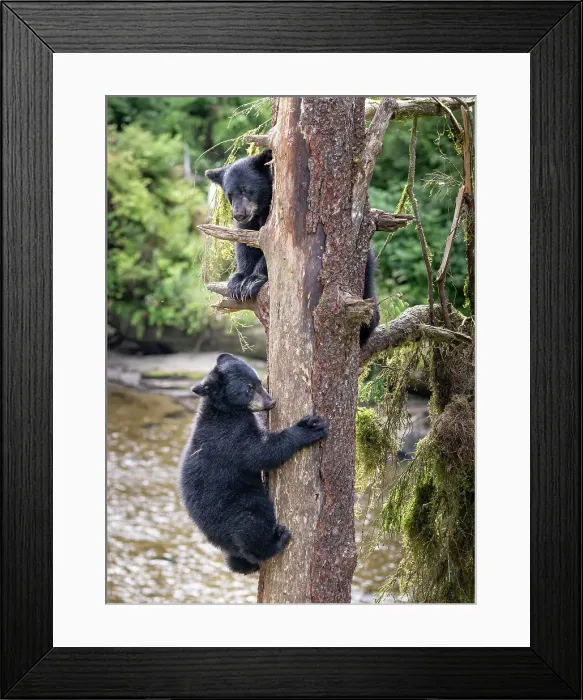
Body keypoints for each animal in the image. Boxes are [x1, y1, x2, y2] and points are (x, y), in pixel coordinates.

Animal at [179, 353, 329, 574]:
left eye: (259, 382)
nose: (271, 402)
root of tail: (222, 543)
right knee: (253, 525)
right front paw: (308, 428)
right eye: (248, 389)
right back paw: (276, 541)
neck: (224, 410)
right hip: (238, 507)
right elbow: (260, 453)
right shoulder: (229, 436)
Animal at [205, 150, 380, 346]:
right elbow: (245, 245)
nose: (239, 214)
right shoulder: (250, 224)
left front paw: (252, 280)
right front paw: (238, 280)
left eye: (246, 189)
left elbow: (272, 252)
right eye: (230, 194)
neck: (262, 209)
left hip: (365, 262)